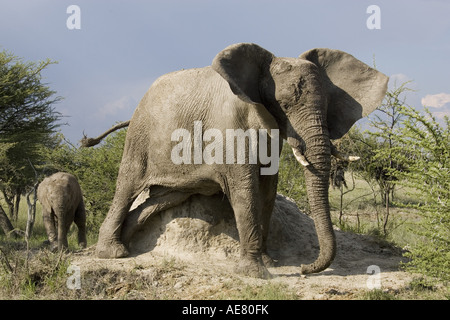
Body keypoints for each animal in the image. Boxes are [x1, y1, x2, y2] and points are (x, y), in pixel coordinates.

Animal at [94, 42, 386, 278]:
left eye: (326, 106)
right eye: (284, 105)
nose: (305, 268)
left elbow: (268, 191)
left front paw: (270, 263)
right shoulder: (229, 129)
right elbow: (246, 191)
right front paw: (256, 274)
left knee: (163, 198)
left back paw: (128, 243)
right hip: (140, 137)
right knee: (127, 186)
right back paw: (114, 253)